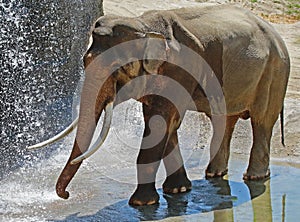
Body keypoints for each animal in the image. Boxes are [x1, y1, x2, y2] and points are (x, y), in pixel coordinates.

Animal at [28, 4, 288, 206]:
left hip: (273, 72)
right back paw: (215, 174)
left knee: (262, 121)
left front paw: (141, 203)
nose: (65, 195)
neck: (144, 26)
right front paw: (178, 190)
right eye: (85, 61)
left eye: (116, 67)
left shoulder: (178, 71)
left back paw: (255, 178)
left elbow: (161, 123)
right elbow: (165, 125)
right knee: (225, 119)